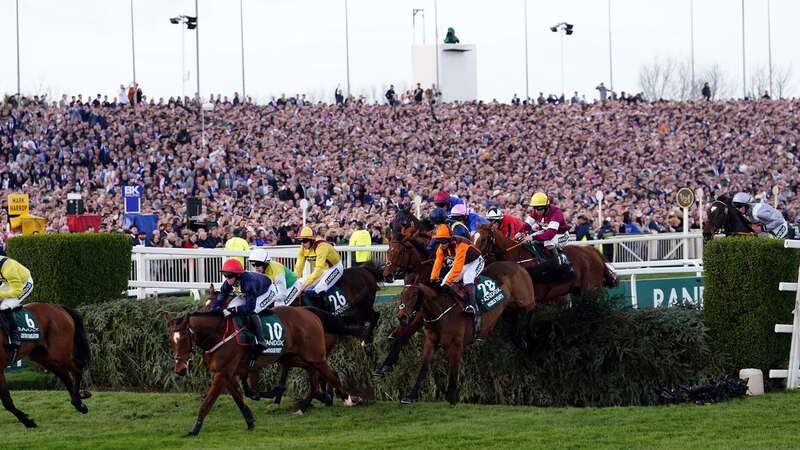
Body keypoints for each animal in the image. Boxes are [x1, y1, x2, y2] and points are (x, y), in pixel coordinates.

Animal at [166, 306, 360, 436]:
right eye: (171, 340)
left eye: (184, 338)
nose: (180, 369)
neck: (219, 334)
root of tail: (311, 313)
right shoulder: (227, 373)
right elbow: (239, 397)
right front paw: (250, 421)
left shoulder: (223, 372)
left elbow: (208, 402)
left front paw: (194, 429)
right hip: (295, 358)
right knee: (316, 379)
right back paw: (304, 407)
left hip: (314, 356)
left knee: (331, 375)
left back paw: (348, 399)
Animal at [396, 260, 536, 404]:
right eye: (401, 295)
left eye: (414, 295)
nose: (402, 317)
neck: (441, 309)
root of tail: (516, 264)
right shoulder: (431, 341)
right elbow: (423, 368)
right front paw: (411, 396)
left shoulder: (456, 345)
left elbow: (453, 370)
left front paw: (452, 397)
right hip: (507, 306)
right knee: (515, 316)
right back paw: (518, 339)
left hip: (523, 299)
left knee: (533, 306)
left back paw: (529, 333)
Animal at [476, 223, 620, 300]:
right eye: (473, 236)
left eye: (483, 239)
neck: (517, 257)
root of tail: (593, 251)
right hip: (578, 290)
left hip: (592, 289)